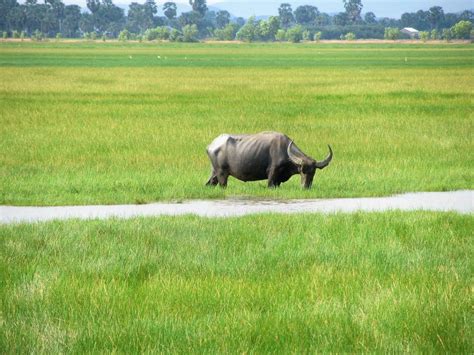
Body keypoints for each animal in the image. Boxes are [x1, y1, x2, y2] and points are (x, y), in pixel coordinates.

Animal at [205, 132, 334, 189]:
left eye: (313, 172)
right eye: (302, 170)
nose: (305, 186)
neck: (284, 150)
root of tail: (210, 146)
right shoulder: (272, 173)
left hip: (214, 173)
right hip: (222, 174)